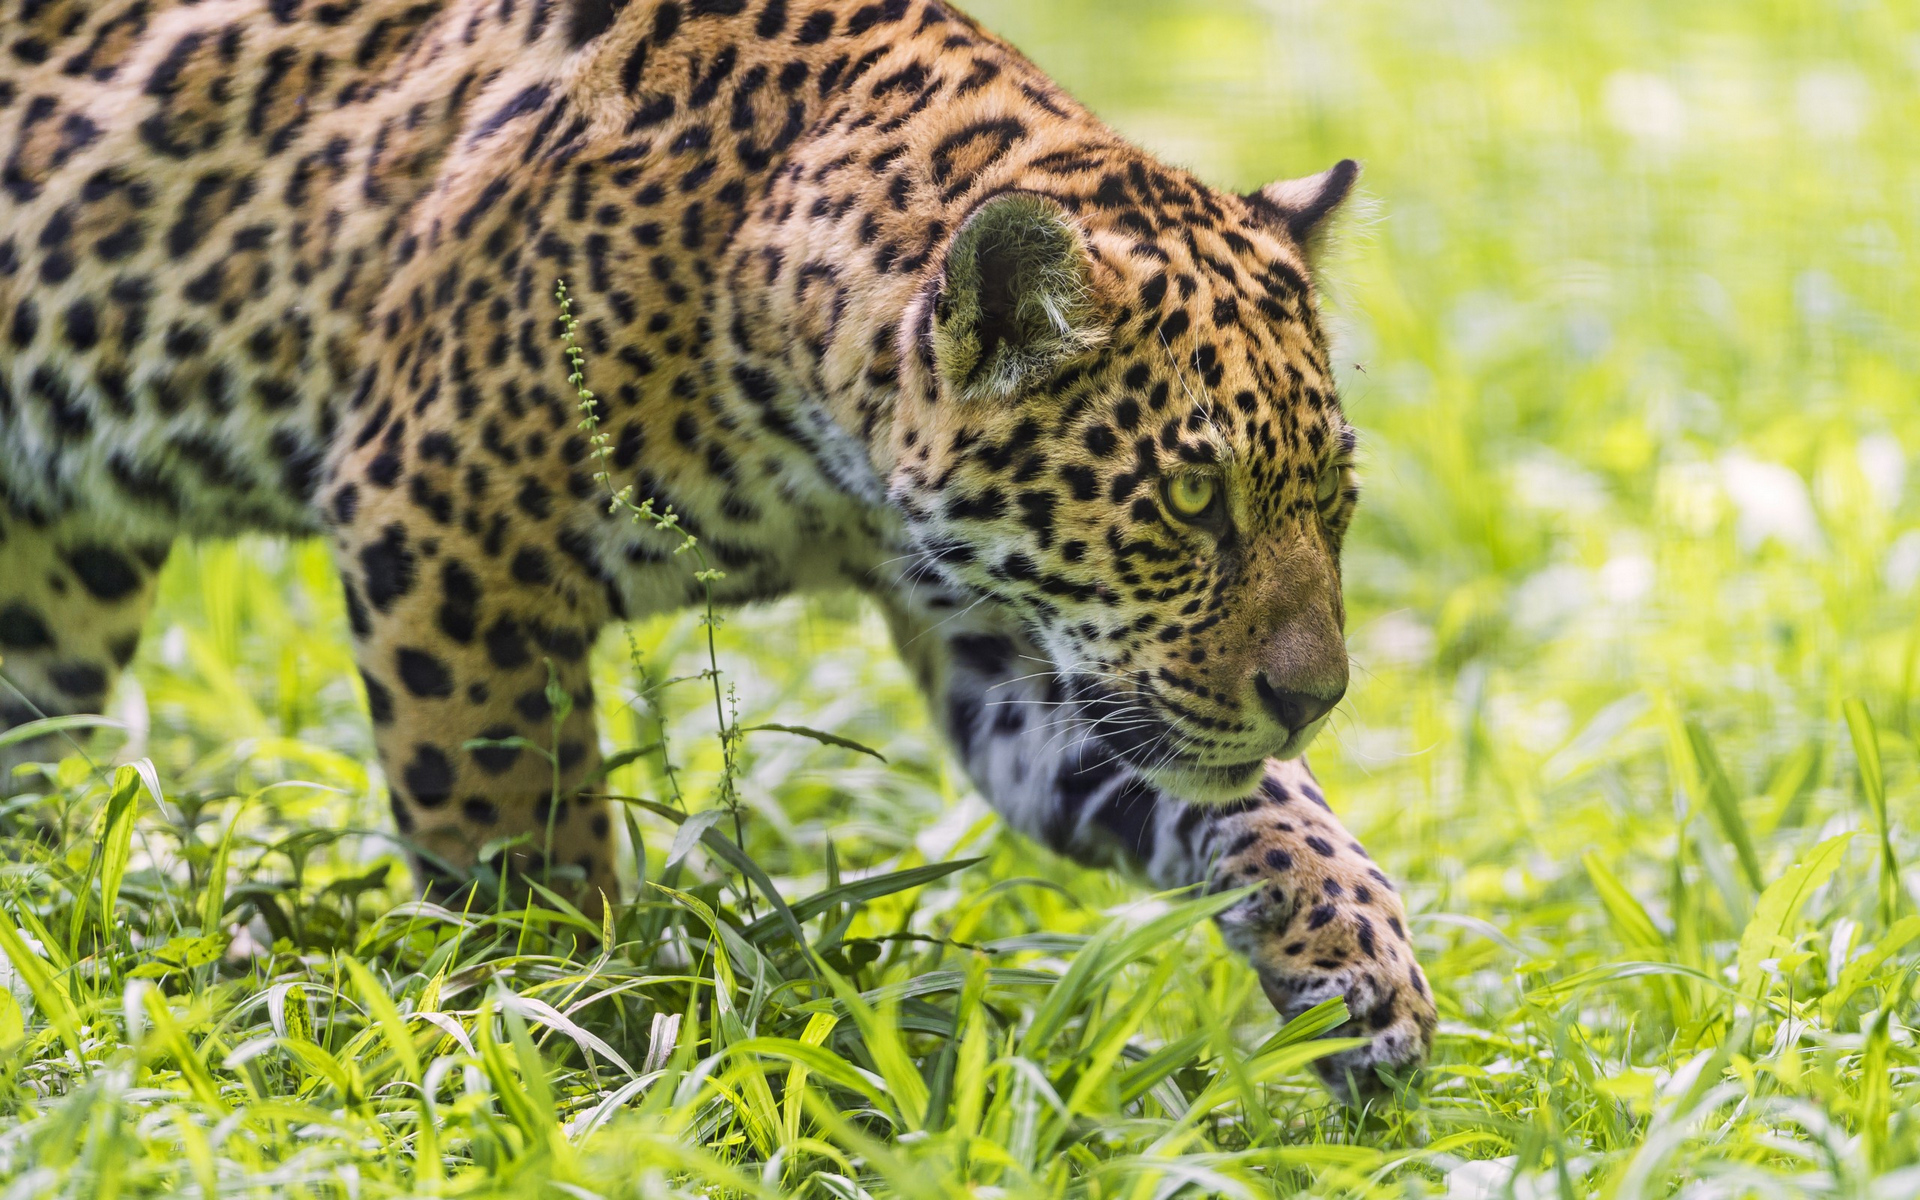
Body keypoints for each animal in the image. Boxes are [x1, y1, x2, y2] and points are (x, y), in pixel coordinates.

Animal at [0, 0, 1436, 1096]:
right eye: (1193, 502)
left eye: (1334, 499)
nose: (1316, 699)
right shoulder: (437, 520)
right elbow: (510, 819)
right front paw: (558, 1021)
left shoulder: (1015, 646)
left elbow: (1246, 794)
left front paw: (1362, 962)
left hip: (59, 569)